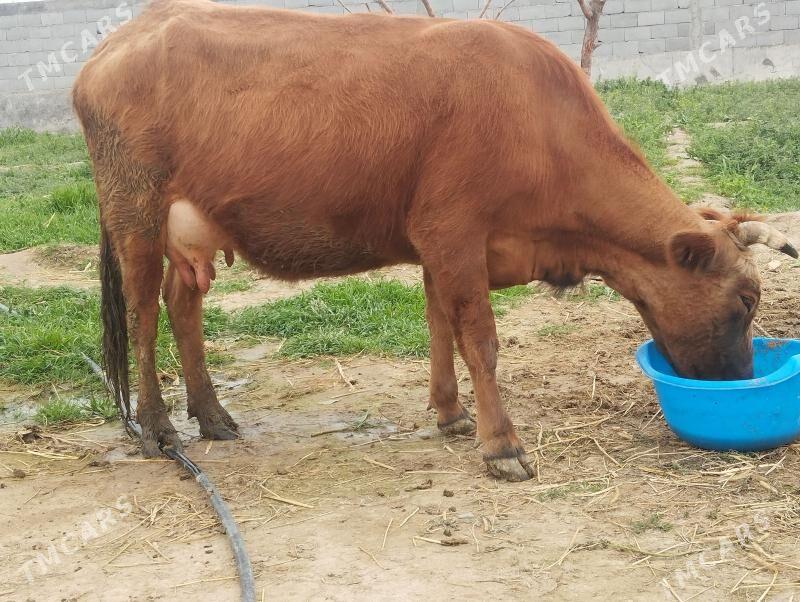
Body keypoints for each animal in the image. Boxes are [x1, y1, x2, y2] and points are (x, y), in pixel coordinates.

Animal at [72, 0, 797, 481]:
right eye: (746, 300)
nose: (741, 378)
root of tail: (122, 38)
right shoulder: (453, 230)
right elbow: (481, 340)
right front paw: (502, 445)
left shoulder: (439, 245)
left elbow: (439, 324)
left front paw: (450, 414)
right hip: (136, 212)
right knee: (141, 313)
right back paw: (159, 427)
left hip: (191, 228)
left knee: (181, 303)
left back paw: (213, 415)